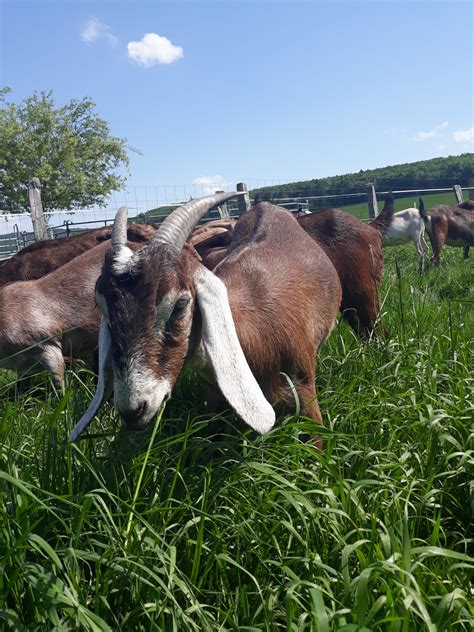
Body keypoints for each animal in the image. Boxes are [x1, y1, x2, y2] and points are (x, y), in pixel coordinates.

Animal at [70, 193, 342, 444]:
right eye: (103, 308)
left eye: (180, 304)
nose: (134, 411)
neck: (256, 333)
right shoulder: (213, 399)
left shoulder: (304, 396)